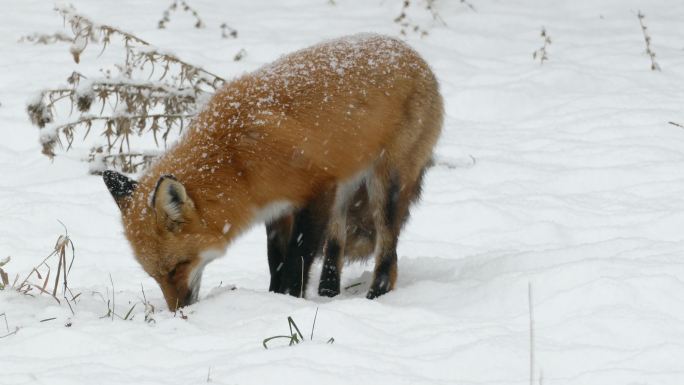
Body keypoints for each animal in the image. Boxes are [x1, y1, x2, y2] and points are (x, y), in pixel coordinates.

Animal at [101, 33, 444, 308]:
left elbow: (297, 259)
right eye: (154, 275)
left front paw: (290, 302)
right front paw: (274, 299)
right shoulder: (278, 210)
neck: (236, 159)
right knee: (337, 246)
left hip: (384, 187)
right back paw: (328, 293)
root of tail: (414, 55)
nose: (178, 311)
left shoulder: (317, 192)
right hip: (344, 189)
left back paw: (375, 295)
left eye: (176, 268)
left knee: (388, 251)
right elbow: (275, 262)